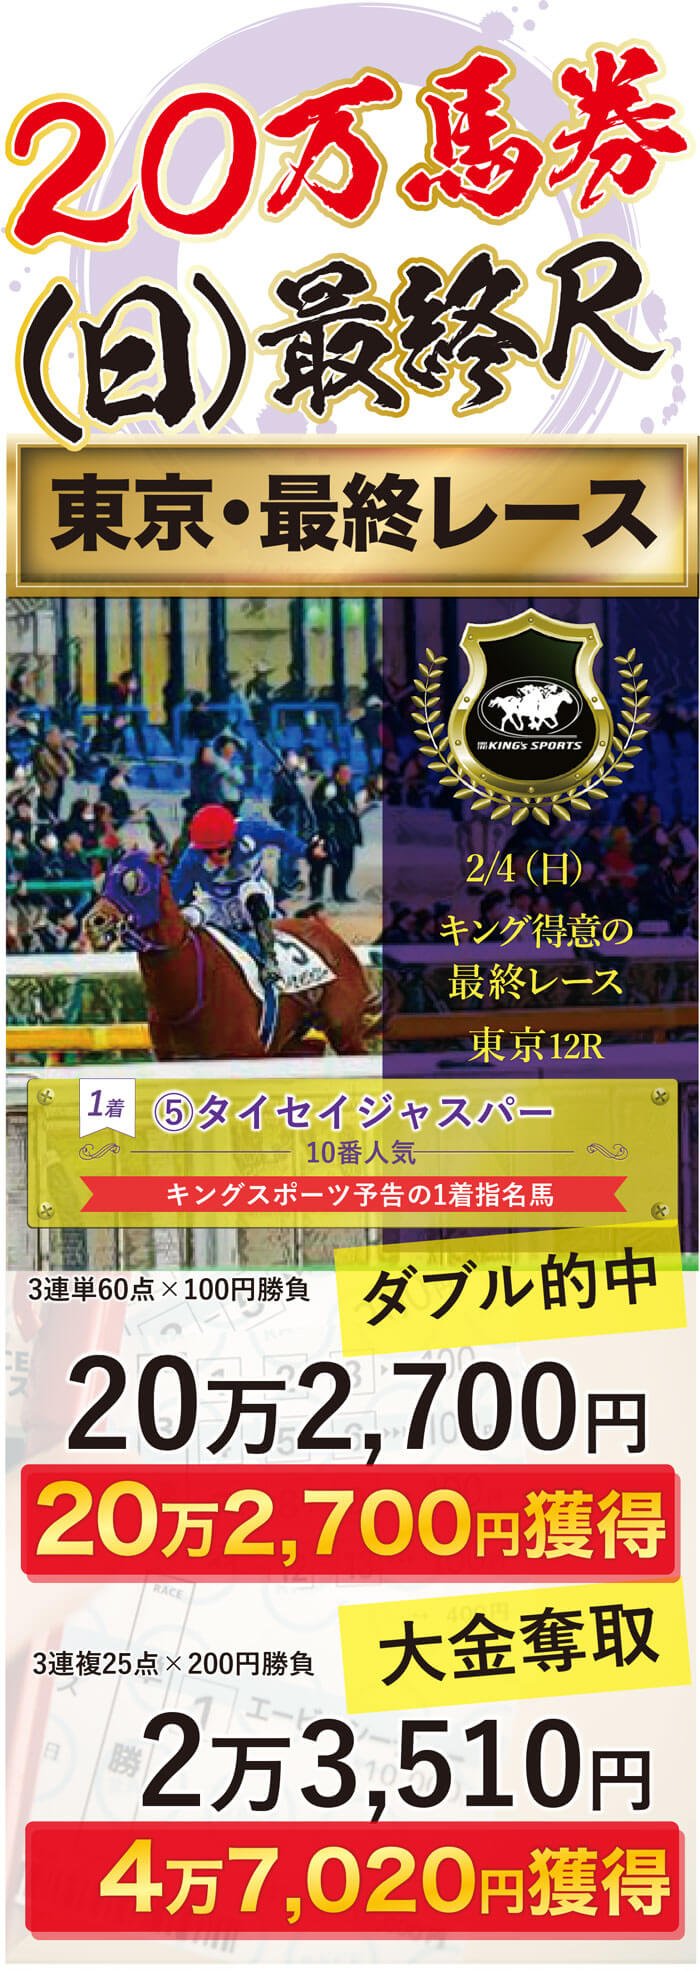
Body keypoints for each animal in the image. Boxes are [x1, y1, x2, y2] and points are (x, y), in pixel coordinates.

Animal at [83, 851, 379, 1059]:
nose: (94, 922)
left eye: (134, 883)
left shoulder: (244, 1052)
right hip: (293, 1042)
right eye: (104, 882)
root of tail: (334, 938)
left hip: (346, 1032)